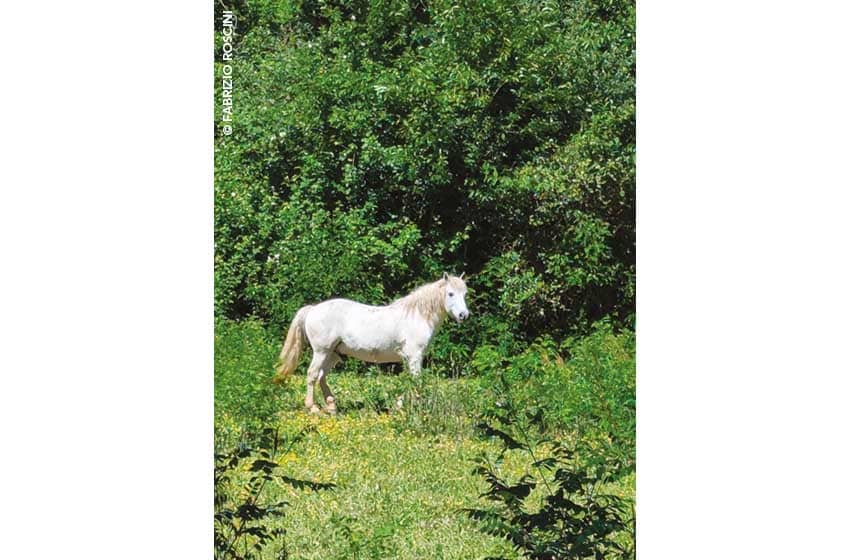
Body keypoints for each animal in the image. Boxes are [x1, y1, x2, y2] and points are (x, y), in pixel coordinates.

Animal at [272, 273, 470, 413]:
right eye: (450, 293)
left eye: (465, 294)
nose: (464, 315)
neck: (417, 316)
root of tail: (313, 309)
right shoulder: (415, 357)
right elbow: (415, 381)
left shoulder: (408, 358)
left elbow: (408, 381)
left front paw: (399, 405)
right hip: (321, 352)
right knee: (312, 374)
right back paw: (313, 408)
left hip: (332, 355)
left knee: (321, 376)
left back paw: (332, 406)